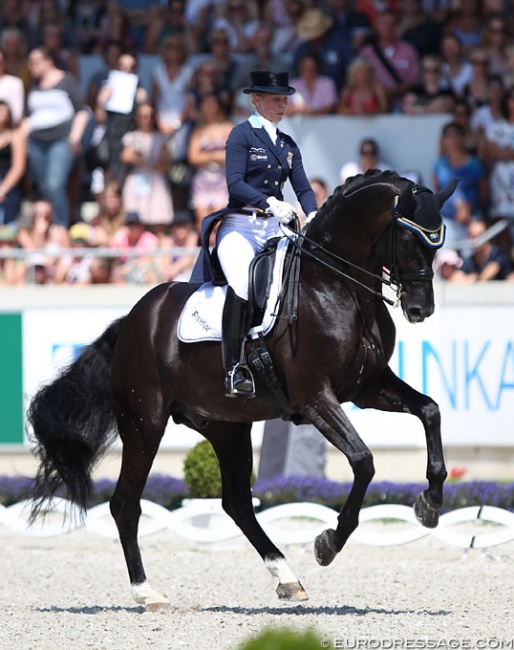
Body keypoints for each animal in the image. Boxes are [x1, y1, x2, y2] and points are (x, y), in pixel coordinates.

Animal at [29, 168, 456, 608]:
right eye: (408, 238)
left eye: (437, 240)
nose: (421, 309)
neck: (338, 287)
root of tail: (133, 320)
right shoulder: (316, 398)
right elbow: (363, 460)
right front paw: (328, 543)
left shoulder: (367, 387)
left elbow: (430, 410)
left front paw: (430, 504)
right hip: (143, 424)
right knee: (125, 504)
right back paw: (147, 593)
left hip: (226, 426)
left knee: (236, 502)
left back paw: (287, 577)